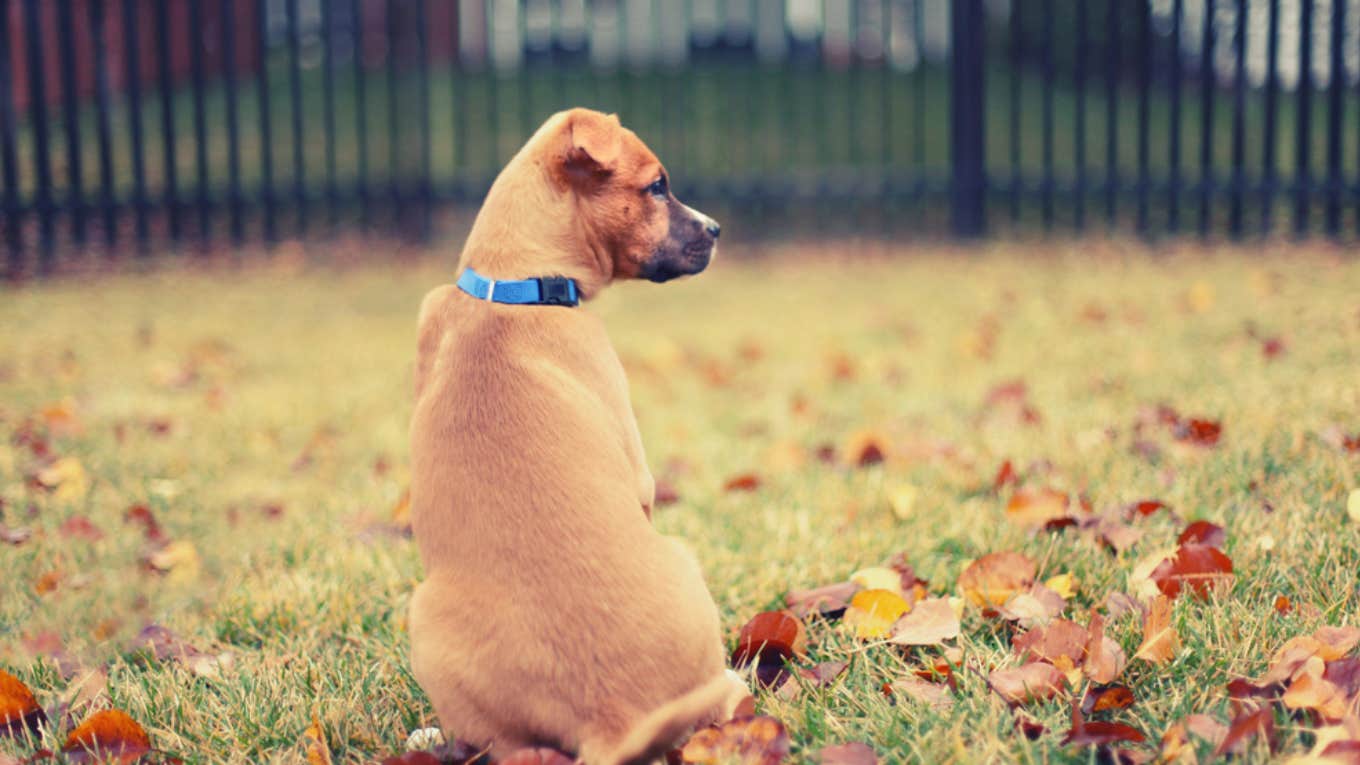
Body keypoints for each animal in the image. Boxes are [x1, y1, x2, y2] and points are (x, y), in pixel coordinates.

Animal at [408, 108, 750, 762]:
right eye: (657, 187)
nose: (718, 228)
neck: (511, 287)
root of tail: (611, 719)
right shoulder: (640, 477)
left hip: (427, 621)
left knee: (503, 747)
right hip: (683, 560)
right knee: (719, 703)